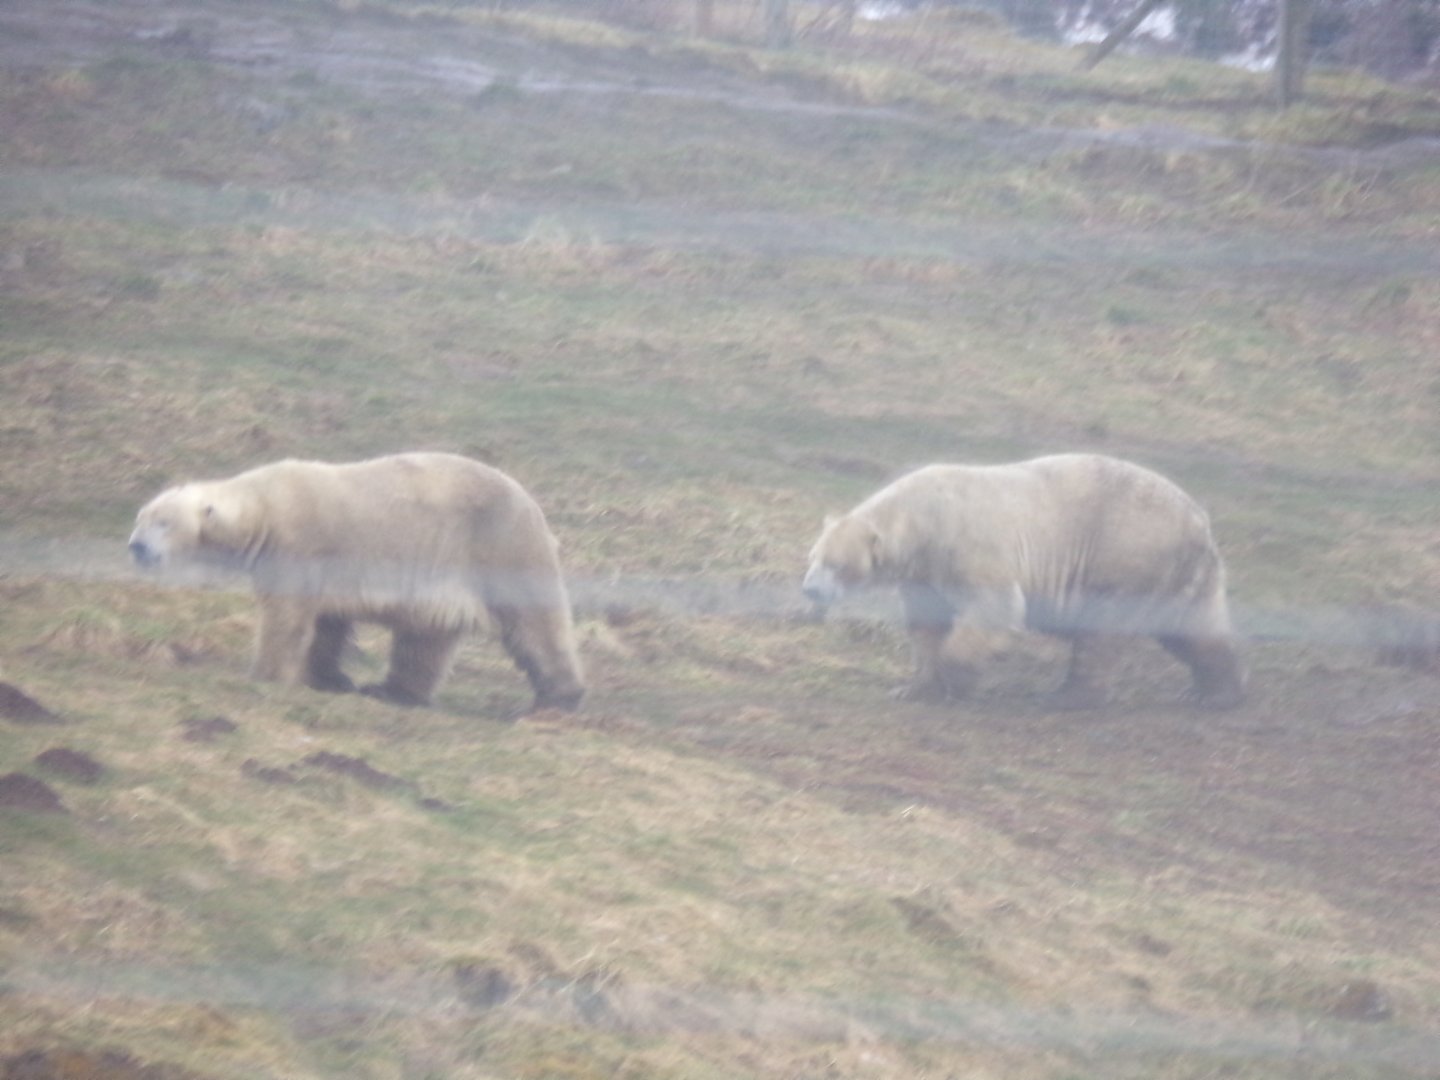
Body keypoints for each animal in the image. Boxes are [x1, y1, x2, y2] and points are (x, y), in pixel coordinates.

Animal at [128, 452, 585, 712]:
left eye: (163, 523)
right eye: (141, 518)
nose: (136, 547)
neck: (263, 506)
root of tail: (532, 504)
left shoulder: (300, 541)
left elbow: (288, 616)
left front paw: (264, 675)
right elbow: (327, 623)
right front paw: (328, 678)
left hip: (499, 544)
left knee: (535, 623)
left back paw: (560, 697)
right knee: (425, 639)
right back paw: (392, 691)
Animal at [801, 453, 1245, 710]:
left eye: (835, 564)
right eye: (812, 558)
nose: (810, 589)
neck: (921, 517)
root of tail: (1199, 521)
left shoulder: (968, 545)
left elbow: (995, 607)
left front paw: (957, 681)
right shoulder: (924, 572)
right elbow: (926, 624)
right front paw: (915, 687)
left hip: (1126, 552)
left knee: (1102, 629)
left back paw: (1068, 695)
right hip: (1182, 572)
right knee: (1192, 629)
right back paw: (1217, 690)